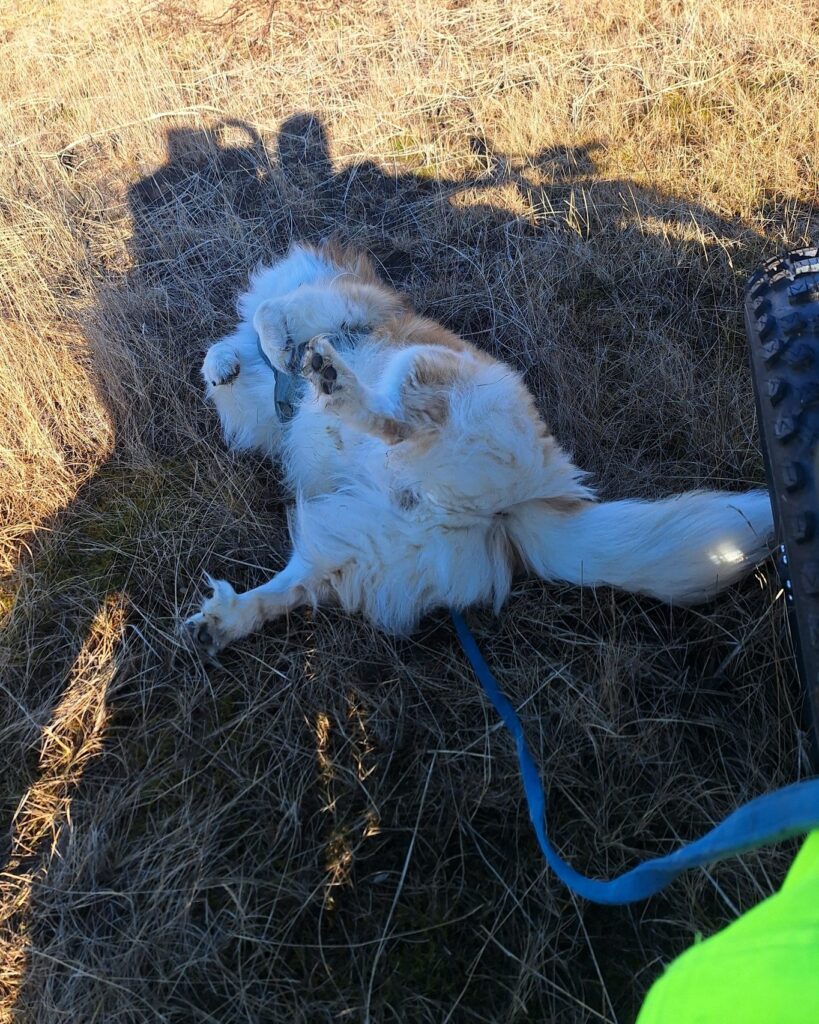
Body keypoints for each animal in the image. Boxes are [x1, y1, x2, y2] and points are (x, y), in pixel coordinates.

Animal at [184, 240, 773, 657]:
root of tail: (515, 509)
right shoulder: (267, 412)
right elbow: (235, 363)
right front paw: (222, 364)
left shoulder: (340, 301)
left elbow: (271, 312)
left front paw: (271, 349)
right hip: (352, 546)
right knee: (294, 589)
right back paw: (223, 622)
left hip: (427, 373)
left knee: (396, 420)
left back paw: (338, 385)